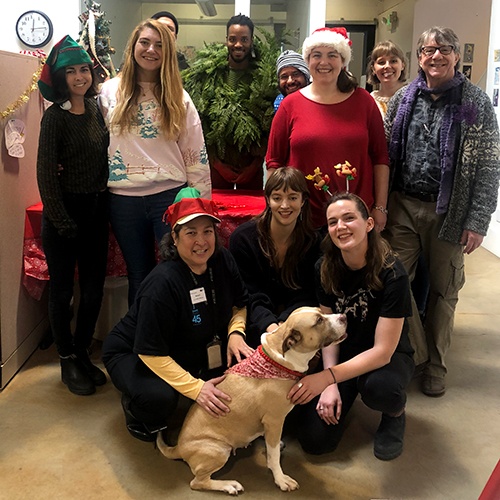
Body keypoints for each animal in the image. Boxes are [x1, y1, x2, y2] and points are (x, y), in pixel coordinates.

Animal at [158, 306, 346, 494]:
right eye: (319, 321)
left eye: (320, 311)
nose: (344, 317)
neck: (281, 360)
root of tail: (178, 448)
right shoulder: (274, 420)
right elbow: (274, 456)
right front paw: (280, 479)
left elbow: (272, 448)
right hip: (219, 450)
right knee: (197, 482)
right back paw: (229, 485)